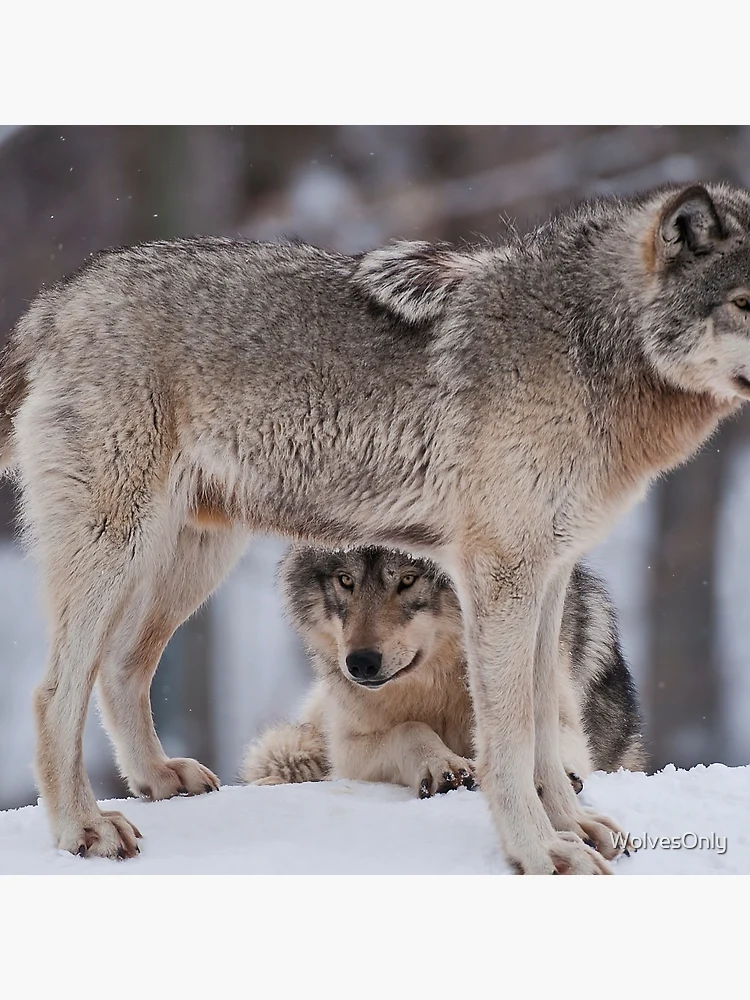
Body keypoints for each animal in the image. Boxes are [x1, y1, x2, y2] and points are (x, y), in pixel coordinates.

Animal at [240, 546, 645, 796]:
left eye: (407, 579)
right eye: (345, 580)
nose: (361, 663)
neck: (438, 683)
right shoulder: (348, 748)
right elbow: (409, 728)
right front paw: (442, 765)